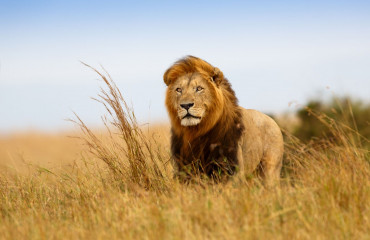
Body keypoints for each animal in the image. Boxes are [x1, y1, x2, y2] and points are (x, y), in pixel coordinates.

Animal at [163, 55, 284, 186]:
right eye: (178, 90)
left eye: (199, 88)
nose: (185, 105)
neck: (196, 132)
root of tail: (273, 121)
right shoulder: (183, 168)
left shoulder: (231, 167)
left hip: (269, 170)